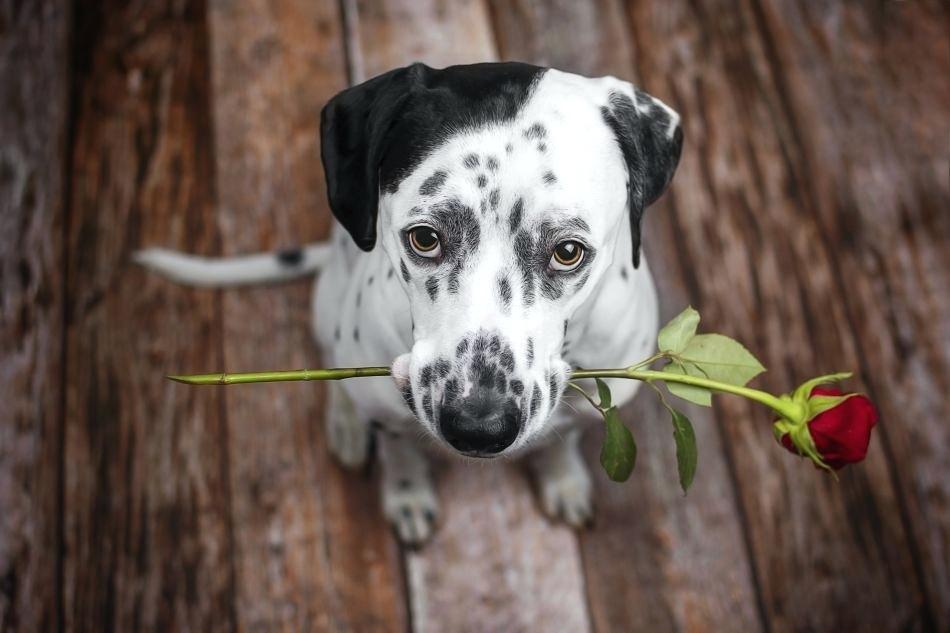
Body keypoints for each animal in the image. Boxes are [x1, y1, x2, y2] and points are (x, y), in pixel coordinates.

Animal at [138, 63, 680, 544]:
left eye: (567, 251)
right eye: (425, 238)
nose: (478, 427)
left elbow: (563, 439)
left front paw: (563, 479)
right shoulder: (390, 411)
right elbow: (398, 450)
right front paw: (405, 493)